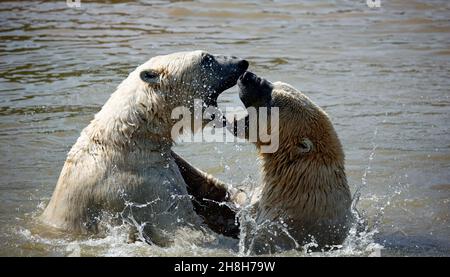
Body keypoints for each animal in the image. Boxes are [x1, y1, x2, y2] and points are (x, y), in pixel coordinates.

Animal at [40, 50, 248, 245]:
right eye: (207, 58)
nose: (242, 62)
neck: (129, 138)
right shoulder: (143, 186)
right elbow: (183, 225)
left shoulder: (172, 163)